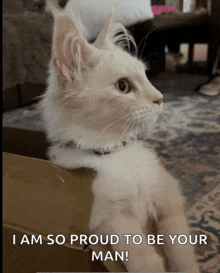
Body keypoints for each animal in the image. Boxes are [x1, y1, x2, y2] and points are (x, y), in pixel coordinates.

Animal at [40, 1, 199, 270]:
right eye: (123, 86)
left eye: (146, 76)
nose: (160, 98)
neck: (114, 151)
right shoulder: (106, 215)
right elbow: (145, 256)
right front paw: (154, 265)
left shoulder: (168, 196)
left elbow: (181, 246)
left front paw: (187, 267)